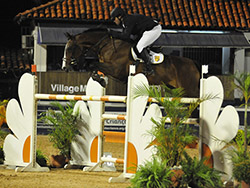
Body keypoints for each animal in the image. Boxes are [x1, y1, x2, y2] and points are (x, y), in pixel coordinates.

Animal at [63, 28, 201, 97]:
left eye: (69, 48)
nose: (65, 67)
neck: (107, 45)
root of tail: (193, 63)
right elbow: (92, 67)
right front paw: (100, 79)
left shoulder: (117, 70)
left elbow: (91, 64)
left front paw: (101, 80)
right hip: (177, 89)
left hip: (190, 90)